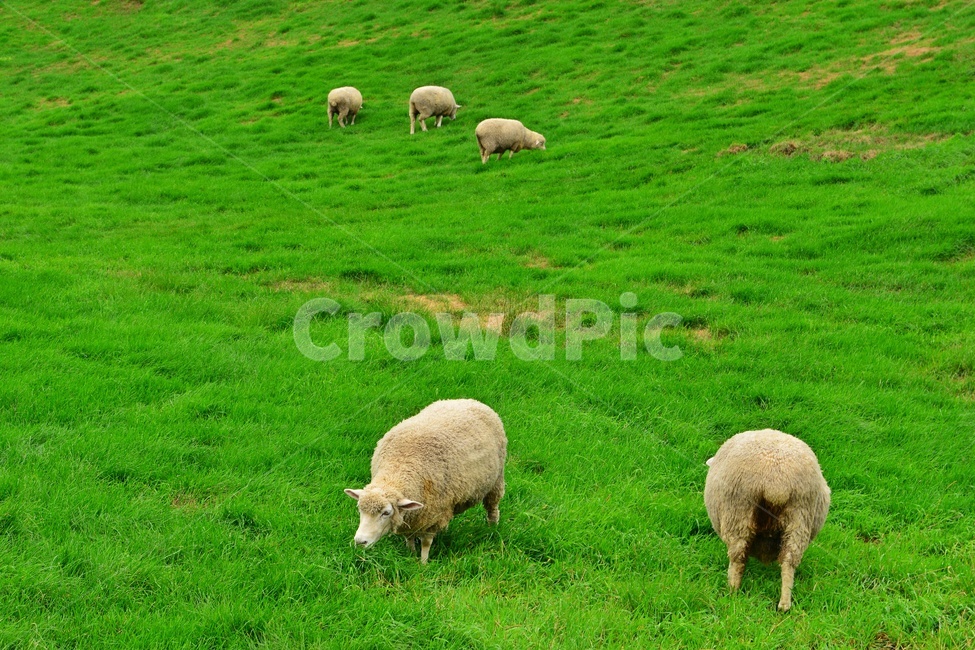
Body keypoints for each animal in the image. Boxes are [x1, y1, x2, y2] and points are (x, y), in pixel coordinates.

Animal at [344, 399, 507, 564]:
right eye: (359, 509)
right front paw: (410, 554)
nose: (360, 542)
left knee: (492, 508)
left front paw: (423, 563)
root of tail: (470, 400)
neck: (397, 470)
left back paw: (492, 528)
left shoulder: (433, 515)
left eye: (386, 513)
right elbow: (409, 537)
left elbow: (426, 543)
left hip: (496, 480)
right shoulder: (411, 517)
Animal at [704, 429, 830, 612]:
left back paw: (732, 591)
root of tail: (776, 484)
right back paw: (784, 604)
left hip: (738, 512)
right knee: (789, 560)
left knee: (738, 556)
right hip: (800, 517)